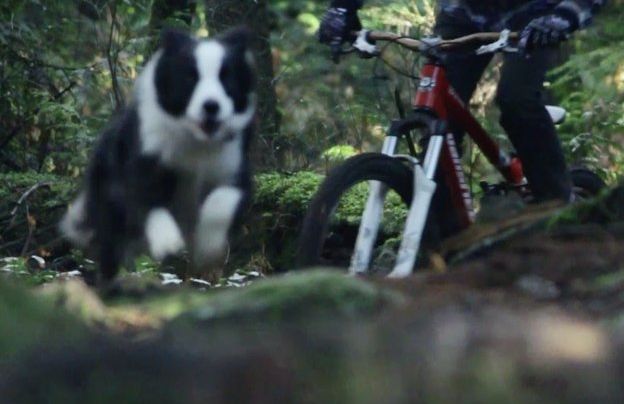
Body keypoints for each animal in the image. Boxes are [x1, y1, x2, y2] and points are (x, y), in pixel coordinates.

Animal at [58, 28, 254, 280]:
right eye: (190, 77)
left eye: (226, 77)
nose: (211, 106)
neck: (195, 140)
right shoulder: (143, 161)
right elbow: (150, 204)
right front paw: (168, 242)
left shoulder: (234, 168)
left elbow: (221, 202)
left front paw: (208, 245)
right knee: (110, 248)